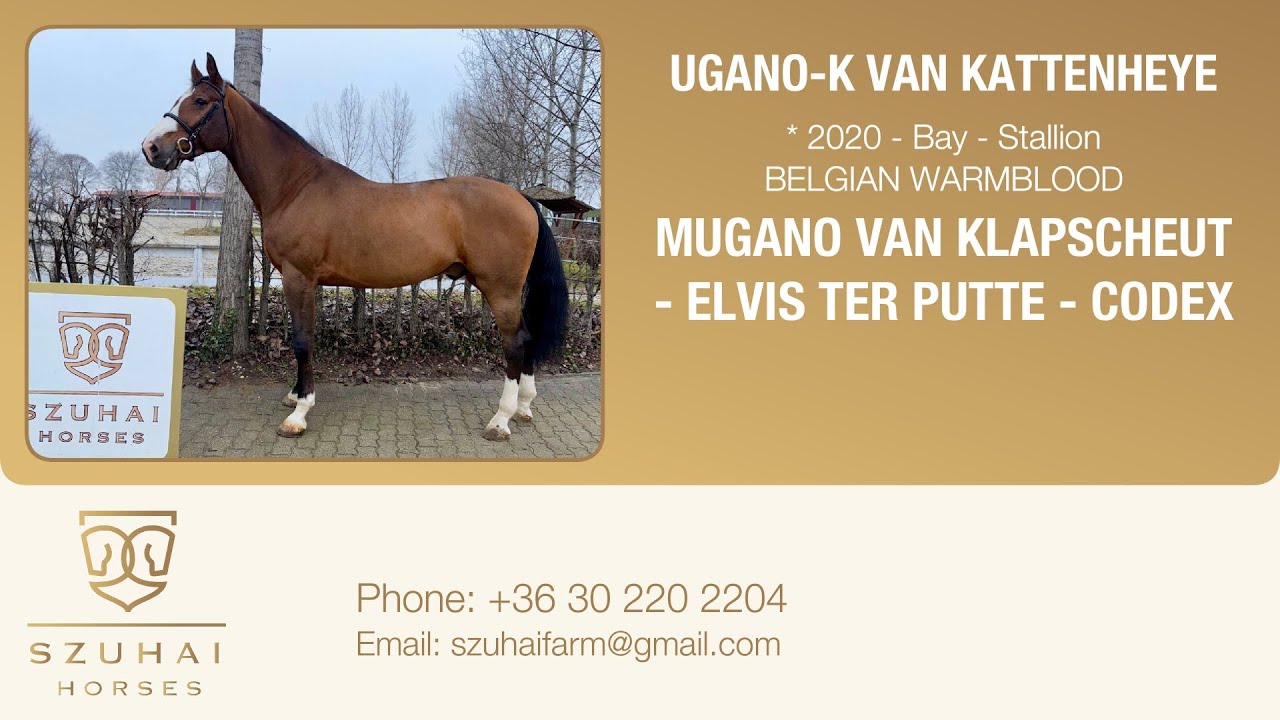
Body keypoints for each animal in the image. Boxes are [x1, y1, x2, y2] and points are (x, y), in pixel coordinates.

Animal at [141, 54, 568, 441]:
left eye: (199, 101)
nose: (151, 147)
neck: (296, 186)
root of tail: (522, 198)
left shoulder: (299, 277)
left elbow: (302, 339)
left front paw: (299, 412)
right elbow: (304, 337)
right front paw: (294, 394)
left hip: (500, 288)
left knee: (516, 342)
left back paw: (501, 419)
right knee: (527, 338)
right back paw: (525, 407)